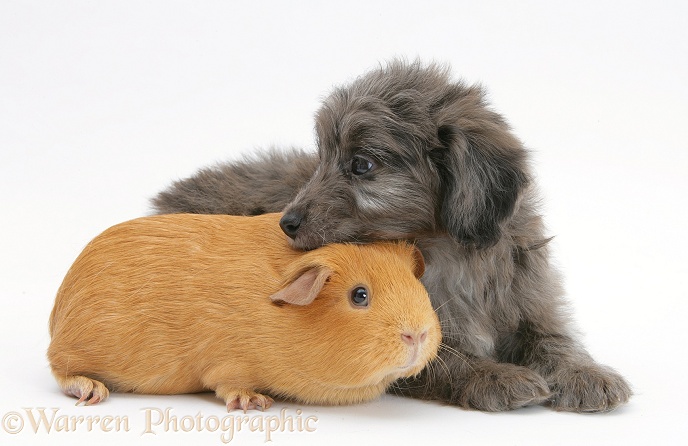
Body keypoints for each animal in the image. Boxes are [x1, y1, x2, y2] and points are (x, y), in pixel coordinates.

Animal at [153, 60, 632, 414]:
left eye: (361, 165)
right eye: (321, 159)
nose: (286, 222)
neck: (450, 252)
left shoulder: (528, 300)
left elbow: (555, 339)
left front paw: (585, 373)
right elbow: (451, 360)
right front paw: (497, 376)